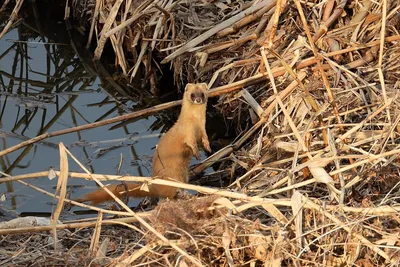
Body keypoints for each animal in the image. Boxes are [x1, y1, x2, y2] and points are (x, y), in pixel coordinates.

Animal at [76, 83, 211, 205]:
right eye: (192, 94)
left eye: (202, 94)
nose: (198, 99)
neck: (195, 122)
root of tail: (155, 186)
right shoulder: (187, 132)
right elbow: (191, 143)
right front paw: (197, 154)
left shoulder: (203, 128)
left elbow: (205, 138)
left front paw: (208, 147)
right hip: (173, 176)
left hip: (183, 175)